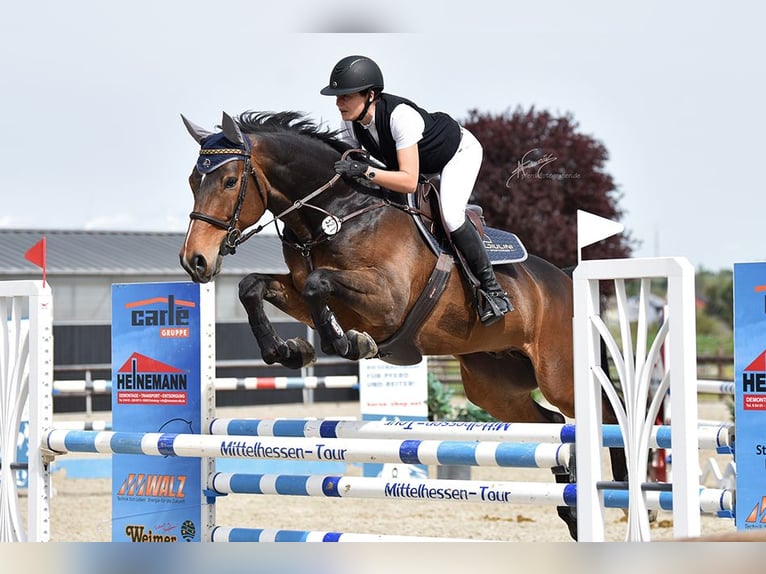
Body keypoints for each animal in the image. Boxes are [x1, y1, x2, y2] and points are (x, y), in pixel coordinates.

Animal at [182, 111, 632, 540]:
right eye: (192, 181)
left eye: (229, 181)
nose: (195, 261)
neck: (335, 213)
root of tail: (568, 280)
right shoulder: (303, 292)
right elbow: (253, 286)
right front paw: (291, 350)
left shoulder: (387, 299)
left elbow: (318, 283)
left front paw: (350, 345)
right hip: (494, 386)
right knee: (551, 426)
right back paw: (572, 513)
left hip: (560, 374)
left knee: (608, 413)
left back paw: (625, 493)